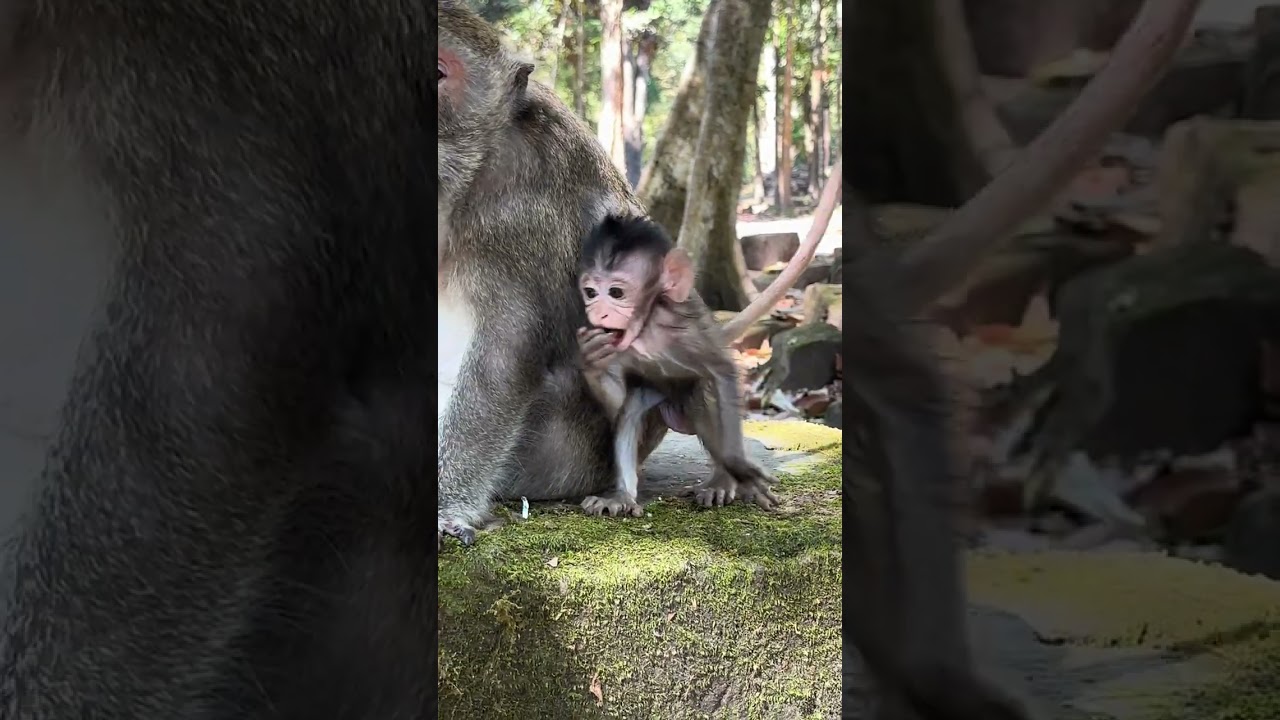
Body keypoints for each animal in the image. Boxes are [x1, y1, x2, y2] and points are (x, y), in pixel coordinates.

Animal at [574, 214, 781, 517]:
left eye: (616, 293)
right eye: (590, 292)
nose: (597, 312)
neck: (647, 328)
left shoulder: (687, 333)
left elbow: (722, 372)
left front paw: (739, 468)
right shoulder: (620, 349)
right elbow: (618, 402)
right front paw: (590, 357)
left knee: (705, 393)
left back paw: (722, 478)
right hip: (657, 395)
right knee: (630, 410)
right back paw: (623, 497)